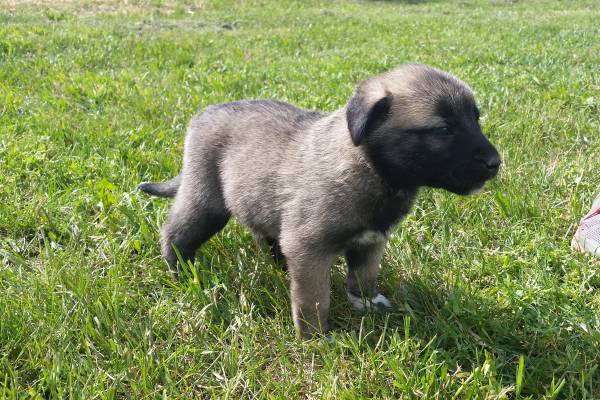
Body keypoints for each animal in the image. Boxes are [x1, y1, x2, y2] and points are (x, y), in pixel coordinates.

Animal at [138, 63, 500, 338]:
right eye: (443, 129)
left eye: (476, 119)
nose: (495, 162)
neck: (369, 166)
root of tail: (201, 116)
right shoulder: (309, 249)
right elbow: (313, 299)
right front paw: (316, 337)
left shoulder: (371, 243)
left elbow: (362, 277)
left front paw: (366, 303)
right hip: (206, 200)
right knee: (176, 232)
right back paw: (182, 273)